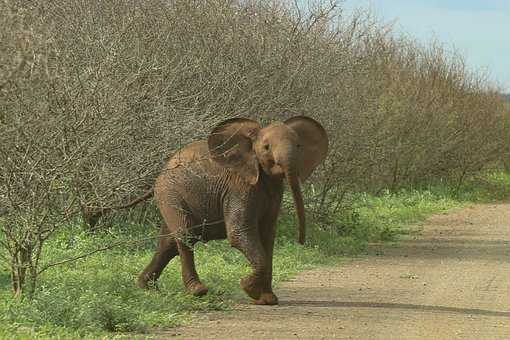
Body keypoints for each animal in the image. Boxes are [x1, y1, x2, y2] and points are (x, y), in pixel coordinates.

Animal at [137, 115, 328, 304]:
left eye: (299, 146)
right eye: (266, 147)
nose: (301, 241)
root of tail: (161, 172)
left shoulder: (274, 191)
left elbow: (267, 236)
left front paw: (267, 299)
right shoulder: (239, 187)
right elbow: (239, 231)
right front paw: (247, 287)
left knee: (168, 243)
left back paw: (146, 287)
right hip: (170, 193)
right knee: (185, 235)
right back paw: (197, 291)